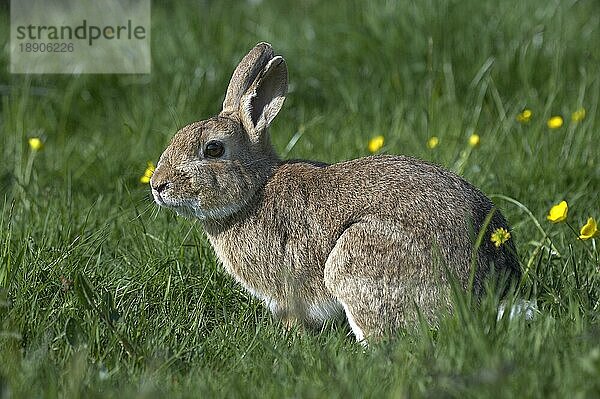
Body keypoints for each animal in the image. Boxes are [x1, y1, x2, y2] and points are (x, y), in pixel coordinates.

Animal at [150, 43, 520, 344]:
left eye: (213, 149)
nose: (157, 185)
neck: (254, 190)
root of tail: (484, 287)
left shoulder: (288, 292)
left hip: (357, 258)